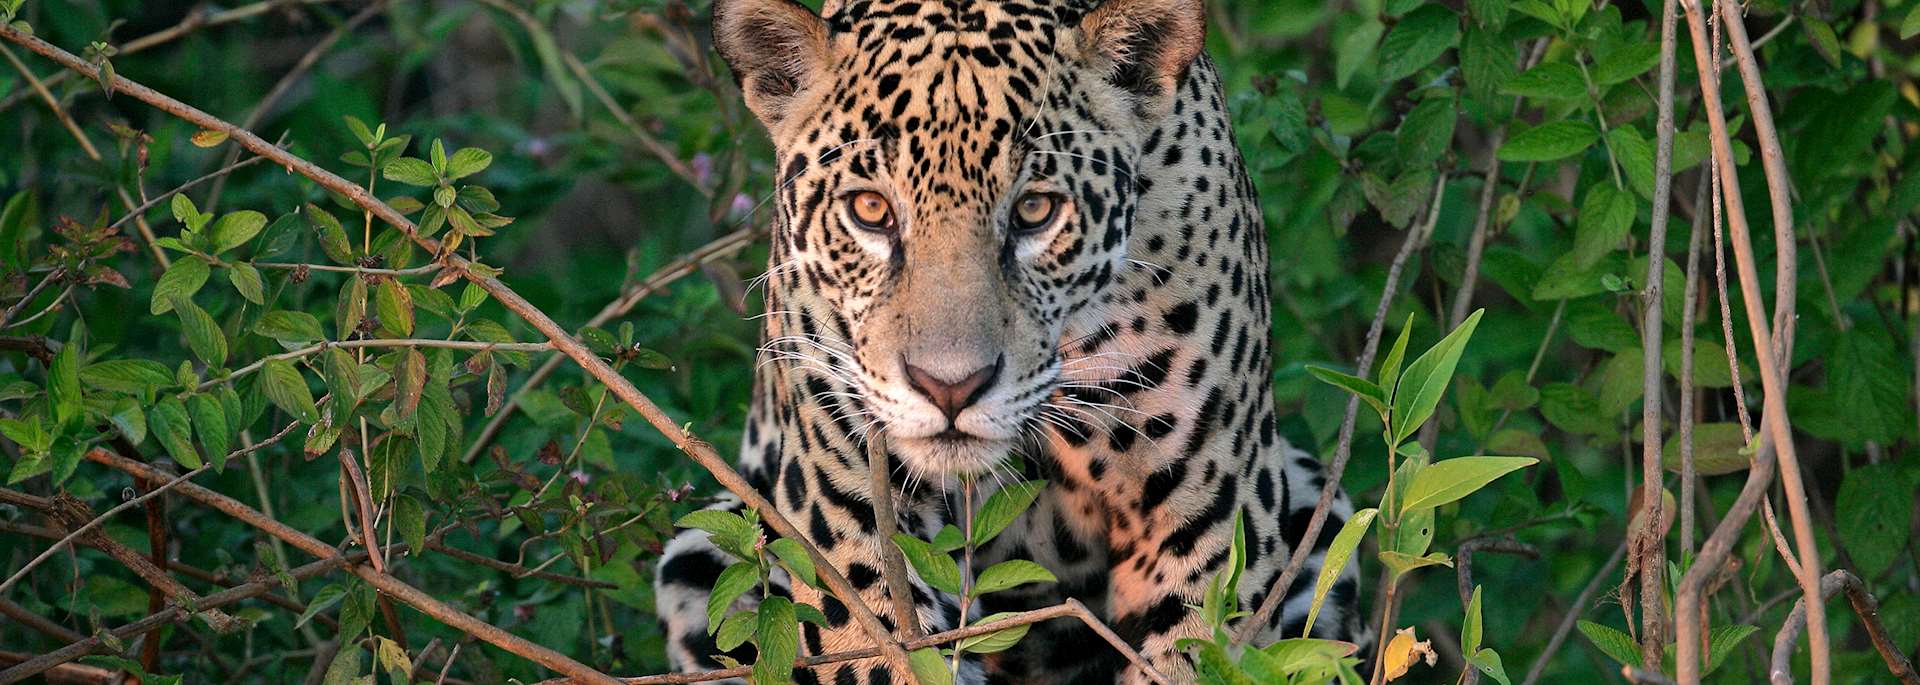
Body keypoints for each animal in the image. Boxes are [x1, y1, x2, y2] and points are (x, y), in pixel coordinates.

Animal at [652, 0, 1369, 682]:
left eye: (1034, 211)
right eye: (869, 211)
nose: (950, 388)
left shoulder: (1207, 516)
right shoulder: (846, 501)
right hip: (700, 552)